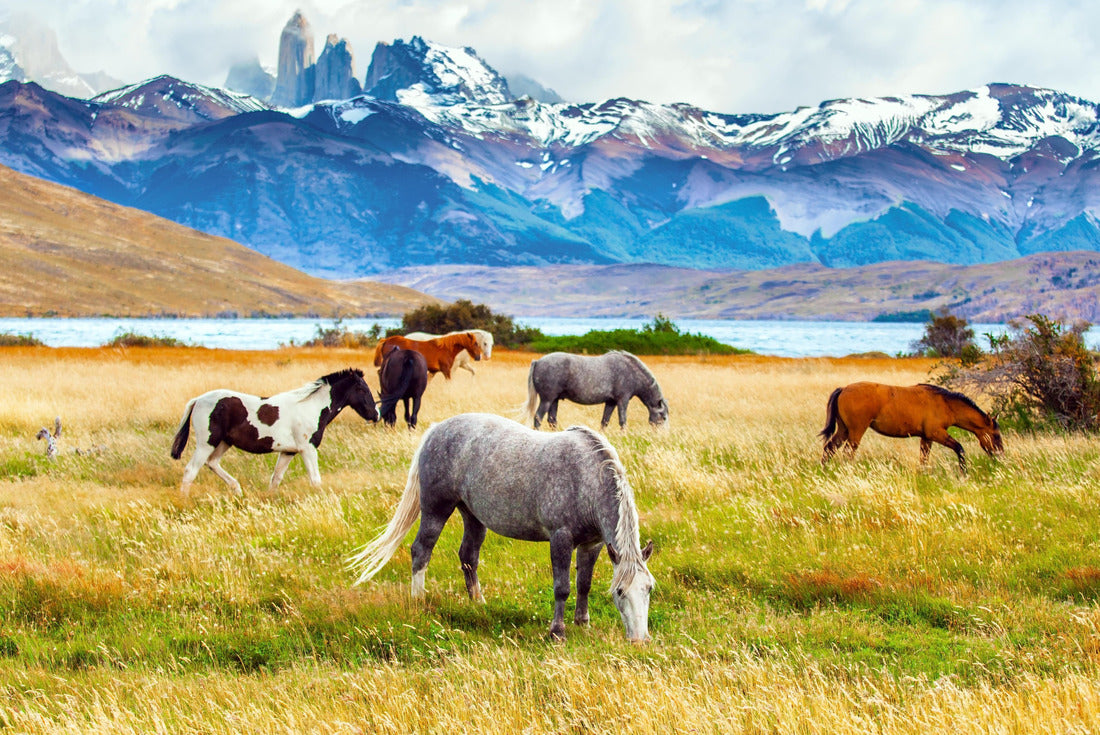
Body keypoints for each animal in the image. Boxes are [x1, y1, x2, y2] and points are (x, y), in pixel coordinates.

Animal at [170, 368, 378, 495]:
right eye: (362, 389)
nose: (375, 414)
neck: (311, 408)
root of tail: (198, 400)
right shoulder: (307, 449)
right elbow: (315, 480)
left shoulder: (288, 452)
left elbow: (275, 479)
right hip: (206, 443)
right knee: (190, 471)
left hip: (223, 443)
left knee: (212, 463)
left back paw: (237, 490)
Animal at [348, 413, 656, 643]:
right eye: (620, 592)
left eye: (649, 588)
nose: (640, 640)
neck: (586, 478)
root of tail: (436, 431)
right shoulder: (561, 539)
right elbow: (562, 587)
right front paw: (557, 632)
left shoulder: (592, 543)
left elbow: (584, 584)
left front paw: (583, 623)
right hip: (436, 509)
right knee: (421, 551)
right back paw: (419, 600)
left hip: (473, 516)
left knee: (468, 557)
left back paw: (478, 603)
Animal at [523, 351, 669, 430]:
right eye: (663, 416)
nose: (663, 436)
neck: (630, 371)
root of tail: (538, 361)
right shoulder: (623, 400)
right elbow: (623, 421)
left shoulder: (611, 402)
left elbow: (605, 421)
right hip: (547, 400)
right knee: (538, 418)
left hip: (554, 400)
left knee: (552, 421)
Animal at [819, 382, 1003, 474]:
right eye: (996, 435)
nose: (1000, 455)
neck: (945, 403)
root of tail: (843, 389)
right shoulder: (937, 434)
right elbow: (959, 448)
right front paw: (964, 472)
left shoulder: (927, 437)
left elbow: (924, 458)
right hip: (856, 431)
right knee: (847, 452)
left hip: (844, 430)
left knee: (830, 448)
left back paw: (825, 470)